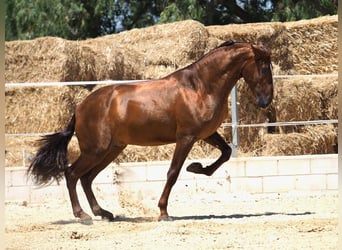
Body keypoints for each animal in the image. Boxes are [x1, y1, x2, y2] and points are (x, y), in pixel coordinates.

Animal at [27, 41, 272, 223]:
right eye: (263, 66)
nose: (266, 101)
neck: (200, 87)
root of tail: (80, 108)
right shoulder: (186, 137)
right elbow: (173, 173)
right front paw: (163, 212)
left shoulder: (206, 134)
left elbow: (226, 153)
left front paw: (196, 167)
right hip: (95, 150)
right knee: (72, 174)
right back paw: (83, 215)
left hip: (111, 150)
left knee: (86, 178)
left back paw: (103, 213)